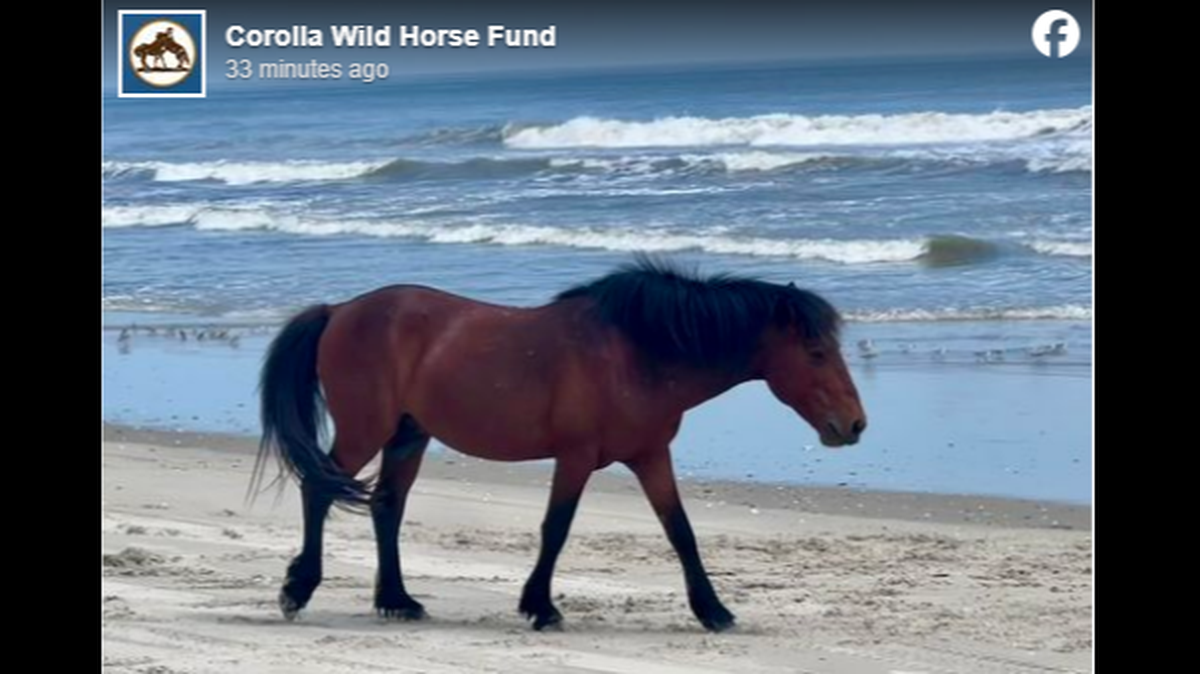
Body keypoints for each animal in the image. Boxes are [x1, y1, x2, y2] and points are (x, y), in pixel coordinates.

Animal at [255, 256, 866, 632]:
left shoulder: (650, 456)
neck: (636, 353)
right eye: (816, 353)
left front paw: (714, 611)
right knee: (319, 490)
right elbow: (557, 528)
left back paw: (397, 601)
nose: (855, 425)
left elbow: (681, 532)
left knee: (386, 506)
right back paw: (297, 590)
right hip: (367, 430)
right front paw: (540, 608)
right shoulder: (575, 458)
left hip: (409, 436)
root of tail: (339, 311)